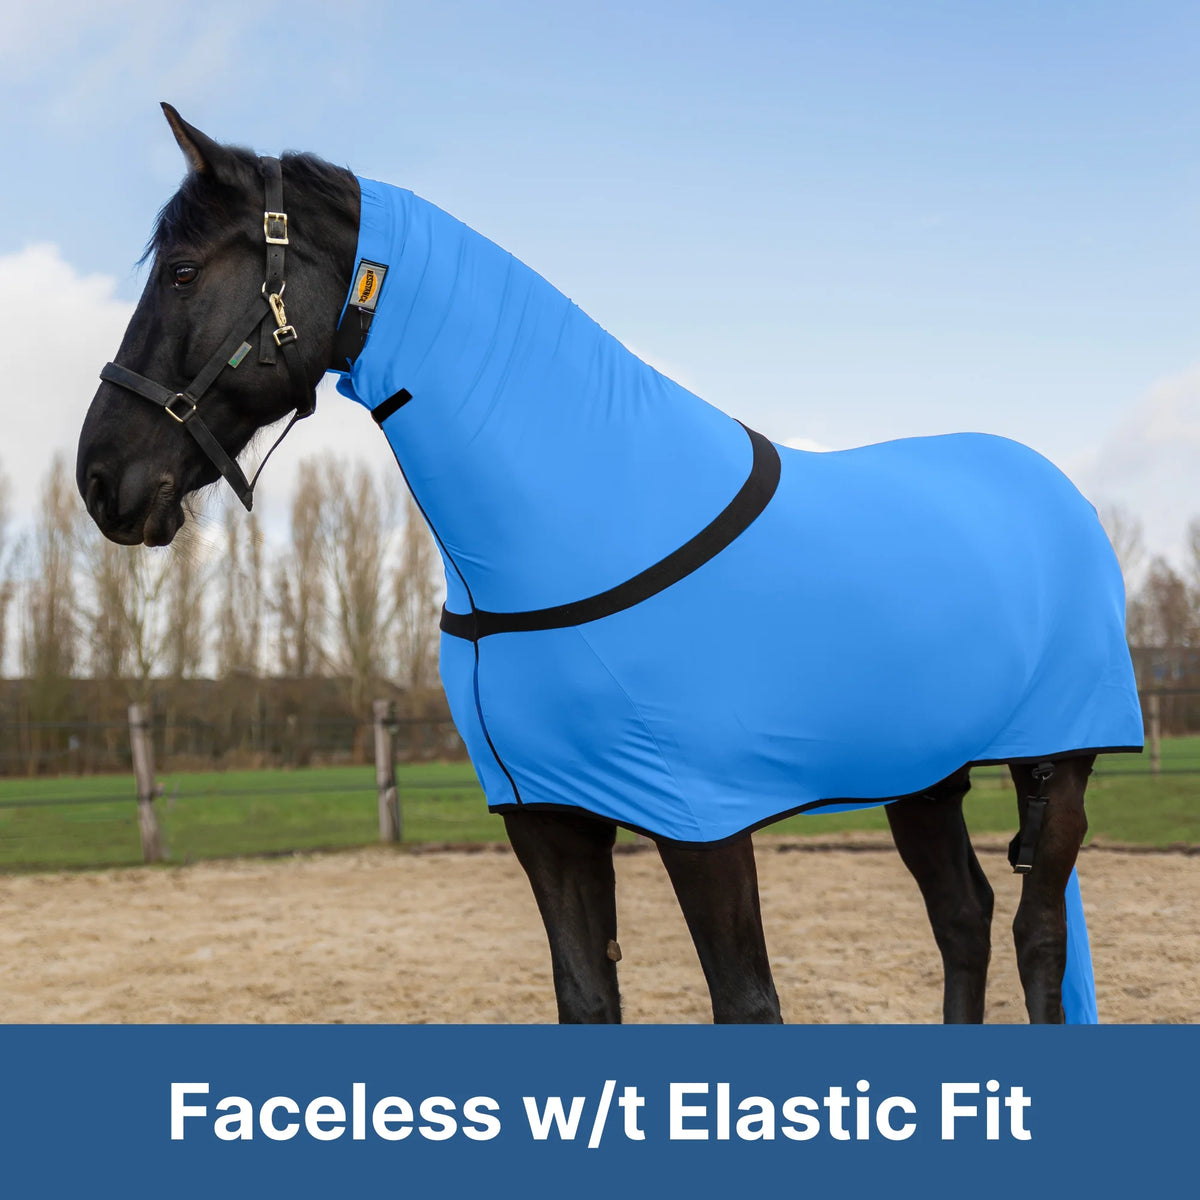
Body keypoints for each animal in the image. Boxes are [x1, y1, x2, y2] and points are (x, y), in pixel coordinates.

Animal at [76, 106, 1143, 1024]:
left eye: (181, 271)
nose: (100, 479)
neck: (582, 522)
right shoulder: (548, 821)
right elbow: (587, 1000)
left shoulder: (704, 824)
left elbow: (747, 1003)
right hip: (922, 772)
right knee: (962, 919)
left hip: (1062, 765)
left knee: (1036, 938)